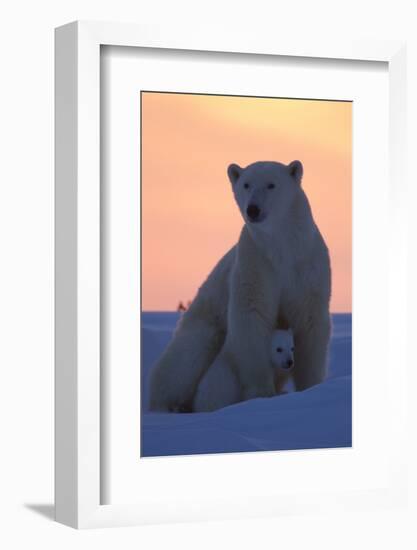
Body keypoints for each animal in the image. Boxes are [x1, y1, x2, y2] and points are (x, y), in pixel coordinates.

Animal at [148, 160, 330, 414]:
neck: (283, 247)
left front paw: (311, 388)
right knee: (184, 361)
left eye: (271, 184)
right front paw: (262, 393)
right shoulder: (256, 262)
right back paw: (168, 405)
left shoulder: (306, 265)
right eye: (246, 184)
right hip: (204, 324)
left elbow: (310, 321)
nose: (252, 209)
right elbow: (251, 317)